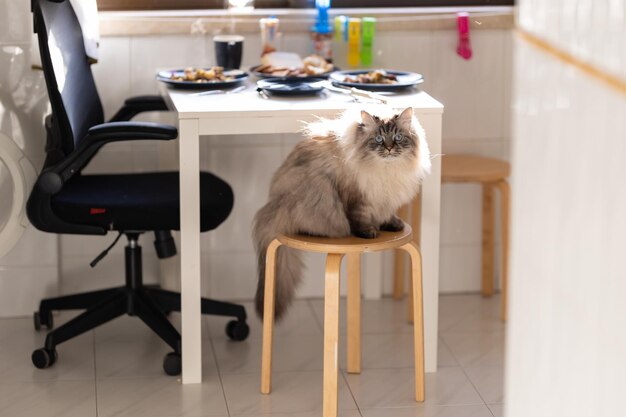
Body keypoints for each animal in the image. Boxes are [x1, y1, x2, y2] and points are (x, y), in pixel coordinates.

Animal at [249, 106, 428, 318]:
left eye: (398, 137)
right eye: (378, 139)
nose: (389, 148)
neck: (386, 169)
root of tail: (273, 207)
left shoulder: (383, 198)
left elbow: (387, 214)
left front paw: (392, 224)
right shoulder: (358, 197)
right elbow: (360, 218)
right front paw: (368, 232)